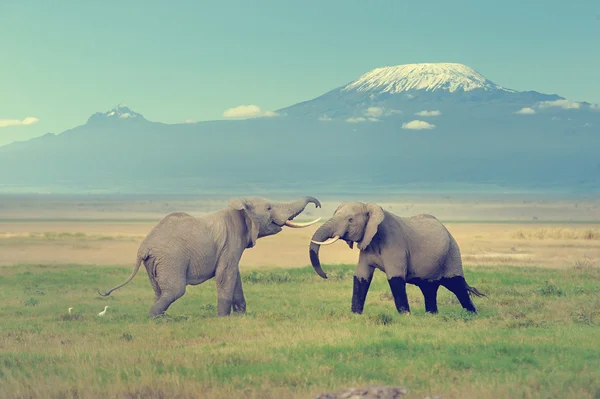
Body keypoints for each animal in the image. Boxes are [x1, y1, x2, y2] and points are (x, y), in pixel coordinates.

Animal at [98, 195, 322, 318]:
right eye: (268, 208)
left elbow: (235, 276)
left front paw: (241, 316)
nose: (318, 205)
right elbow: (226, 274)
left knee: (159, 291)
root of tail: (143, 248)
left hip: (154, 263)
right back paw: (154, 319)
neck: (240, 207)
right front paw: (223, 318)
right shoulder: (231, 241)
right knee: (175, 291)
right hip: (170, 259)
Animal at [308, 203, 486, 316]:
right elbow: (361, 276)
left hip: (452, 253)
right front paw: (355, 315)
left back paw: (472, 314)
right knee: (429, 288)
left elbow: (395, 278)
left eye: (350, 220)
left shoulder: (395, 244)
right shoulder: (367, 244)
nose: (325, 275)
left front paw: (405, 316)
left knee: (456, 285)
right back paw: (432, 315)